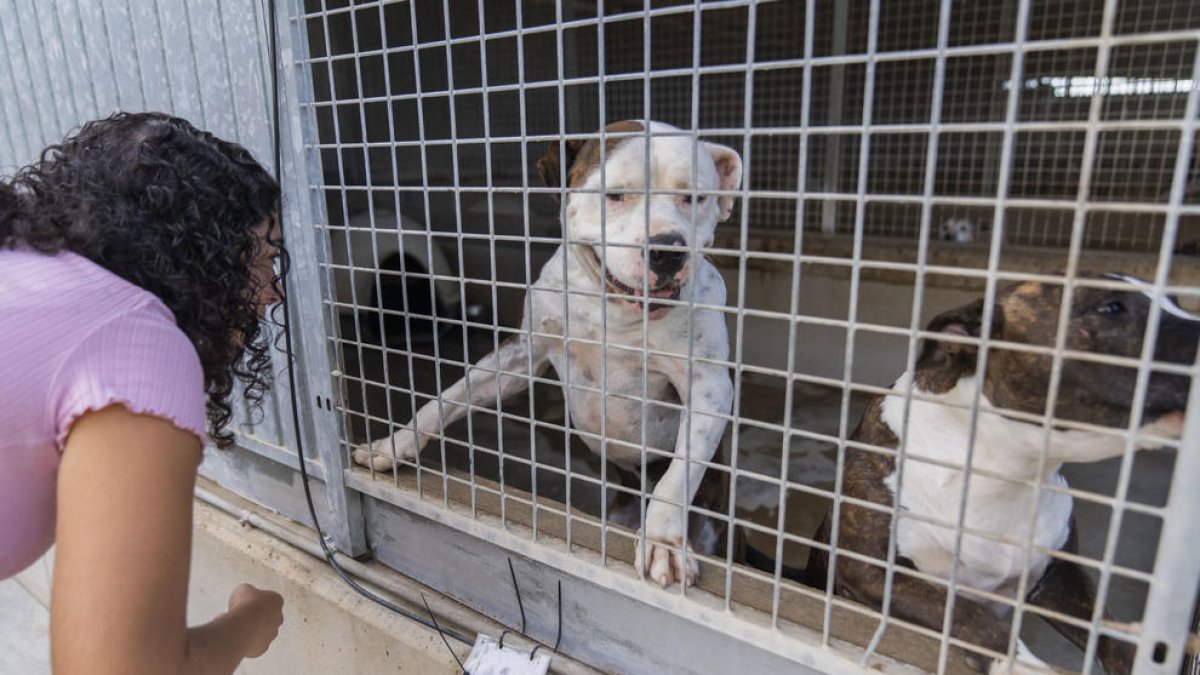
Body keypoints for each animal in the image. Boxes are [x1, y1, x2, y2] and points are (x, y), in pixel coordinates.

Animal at [350, 120, 739, 583]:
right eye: (615, 195)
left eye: (694, 197)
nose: (668, 249)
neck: (611, 309)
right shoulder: (520, 355)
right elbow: (446, 399)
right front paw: (394, 445)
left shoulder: (708, 388)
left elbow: (678, 474)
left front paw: (663, 540)